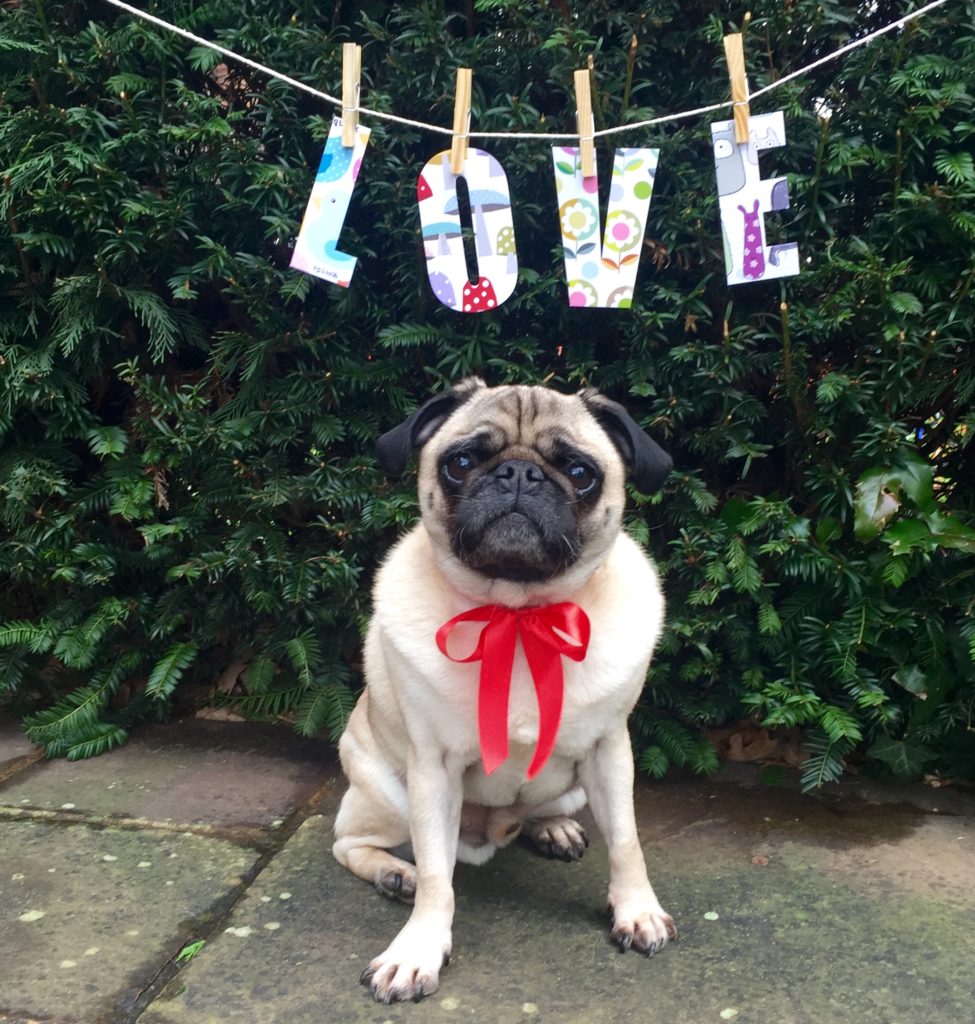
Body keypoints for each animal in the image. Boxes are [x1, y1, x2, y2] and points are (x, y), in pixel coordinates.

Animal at [331, 376, 675, 999]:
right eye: (461, 463)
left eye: (580, 472)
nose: (519, 473)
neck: (518, 614)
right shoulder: (432, 768)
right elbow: (437, 878)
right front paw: (416, 950)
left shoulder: (611, 751)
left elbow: (626, 842)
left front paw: (636, 911)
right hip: (388, 795)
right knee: (353, 844)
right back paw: (395, 873)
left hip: (576, 786)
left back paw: (550, 827)